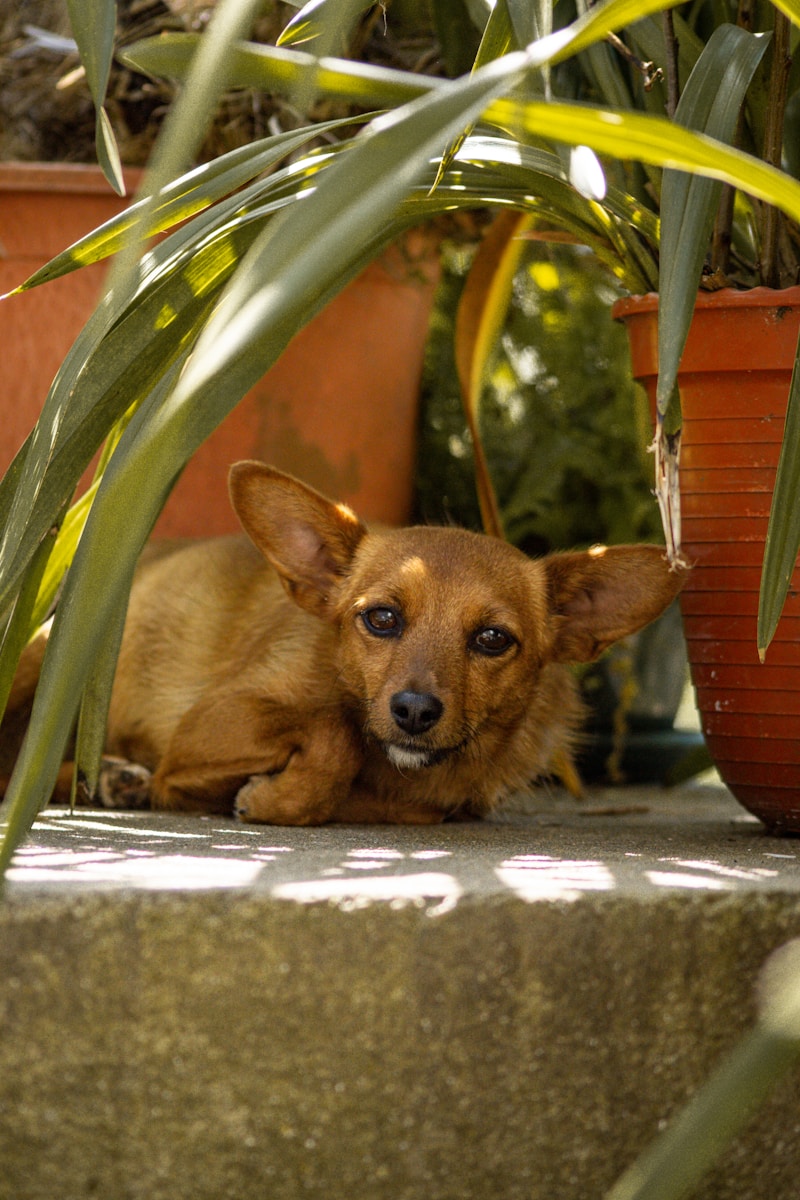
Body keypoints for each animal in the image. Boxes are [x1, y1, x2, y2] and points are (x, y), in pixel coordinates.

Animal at [3, 460, 686, 825]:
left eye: (493, 639)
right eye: (381, 619)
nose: (414, 712)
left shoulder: (435, 802)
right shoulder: (209, 725)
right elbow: (334, 732)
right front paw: (275, 796)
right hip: (40, 649)